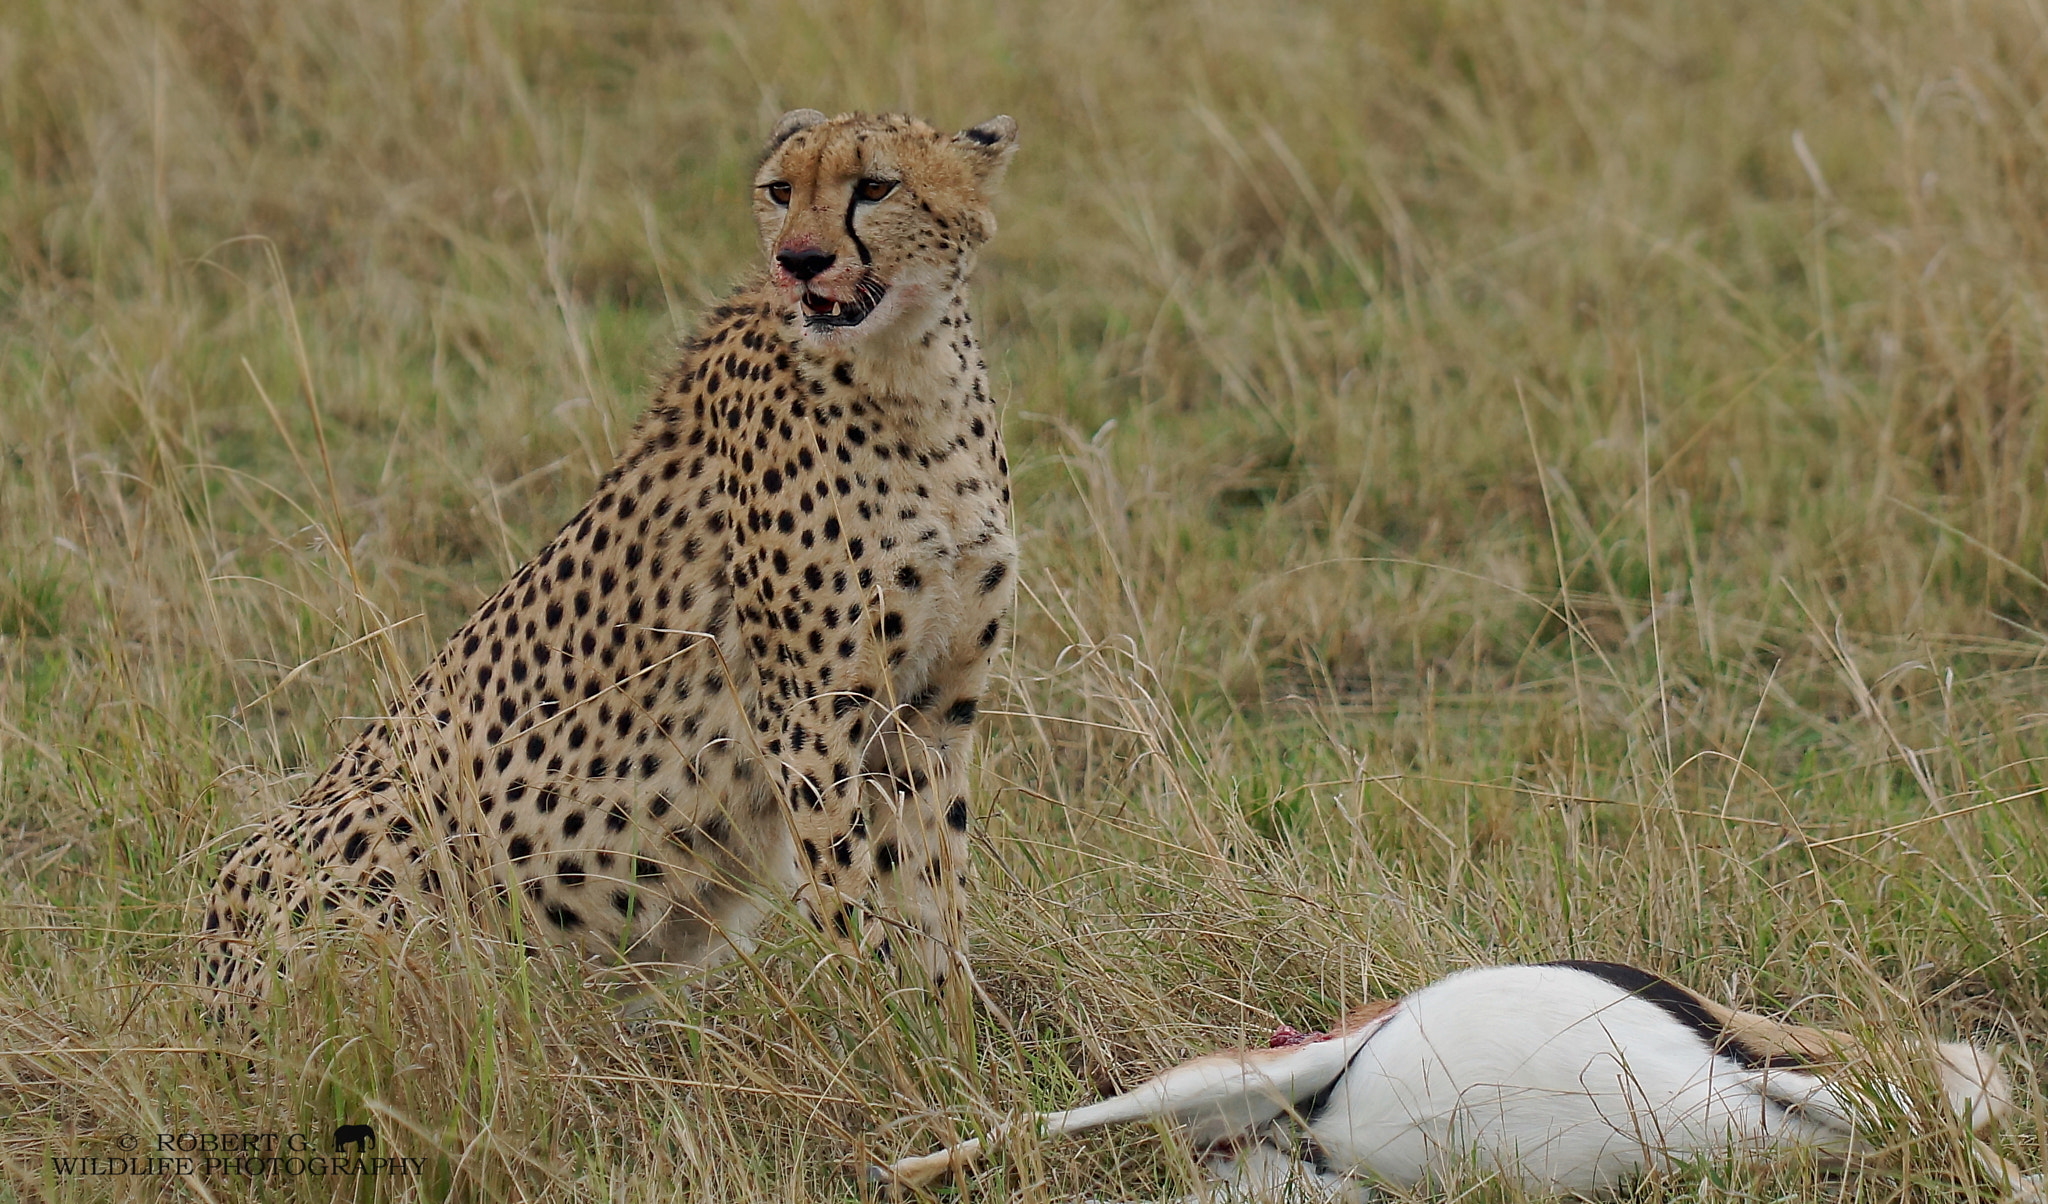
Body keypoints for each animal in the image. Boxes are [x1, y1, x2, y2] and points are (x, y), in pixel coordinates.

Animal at [199, 110, 1015, 1015]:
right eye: (779, 191)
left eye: (875, 187)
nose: (798, 260)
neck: (909, 380)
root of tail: (199, 978)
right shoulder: (811, 716)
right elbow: (851, 896)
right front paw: (888, 1028)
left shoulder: (932, 716)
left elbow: (934, 890)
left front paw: (955, 1028)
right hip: (396, 813)